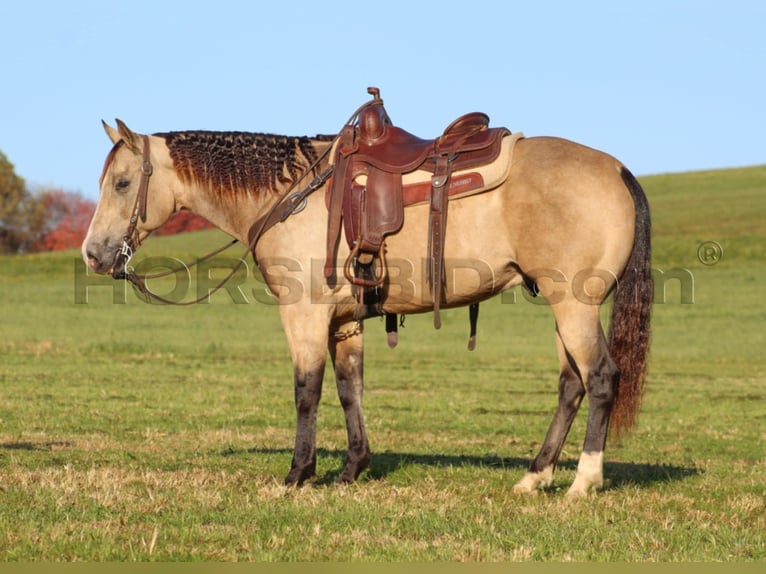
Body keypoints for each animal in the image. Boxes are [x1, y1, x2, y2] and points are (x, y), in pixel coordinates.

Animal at [81, 91, 652, 500]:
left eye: (123, 183)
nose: (93, 254)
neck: (292, 193)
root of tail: (617, 169)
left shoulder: (304, 314)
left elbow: (307, 390)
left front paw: (298, 474)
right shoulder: (345, 321)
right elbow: (349, 388)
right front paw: (352, 469)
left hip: (573, 305)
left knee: (600, 378)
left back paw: (583, 481)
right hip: (565, 306)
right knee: (571, 385)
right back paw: (535, 476)